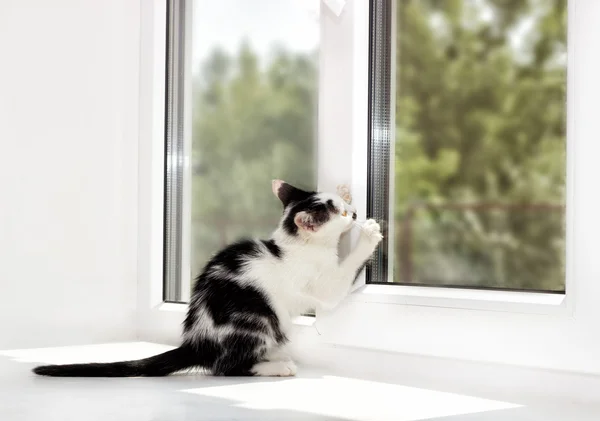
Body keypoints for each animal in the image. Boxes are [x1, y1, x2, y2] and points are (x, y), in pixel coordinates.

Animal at [34, 179, 380, 376]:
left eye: (344, 206)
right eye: (340, 214)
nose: (353, 212)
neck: (293, 245)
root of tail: (197, 341)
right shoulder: (322, 284)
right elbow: (343, 276)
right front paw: (369, 235)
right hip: (258, 320)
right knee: (224, 368)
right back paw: (277, 366)